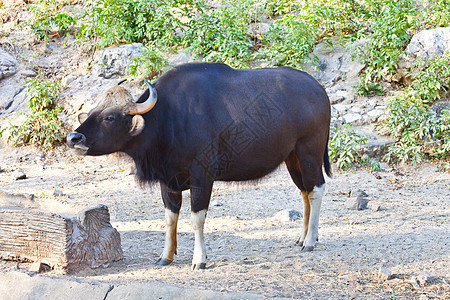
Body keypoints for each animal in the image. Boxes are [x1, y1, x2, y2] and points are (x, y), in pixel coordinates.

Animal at [67, 62, 334, 270]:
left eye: (110, 117)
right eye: (92, 112)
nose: (73, 138)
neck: (168, 119)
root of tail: (319, 89)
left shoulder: (202, 176)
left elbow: (197, 218)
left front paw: (199, 259)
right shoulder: (168, 180)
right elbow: (170, 219)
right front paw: (166, 256)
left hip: (309, 151)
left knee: (316, 188)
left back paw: (310, 241)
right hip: (292, 157)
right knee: (305, 191)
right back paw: (302, 237)